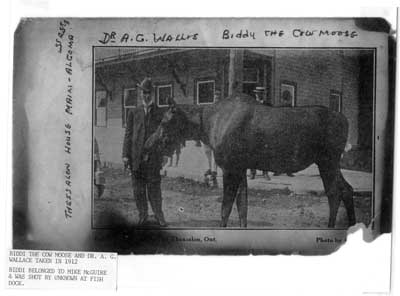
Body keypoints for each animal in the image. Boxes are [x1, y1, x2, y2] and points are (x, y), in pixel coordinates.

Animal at [145, 93, 356, 228]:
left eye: (164, 122)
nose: (148, 144)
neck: (205, 126)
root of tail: (346, 121)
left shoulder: (230, 167)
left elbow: (226, 208)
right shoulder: (240, 168)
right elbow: (242, 207)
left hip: (328, 160)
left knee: (334, 192)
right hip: (329, 162)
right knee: (346, 189)